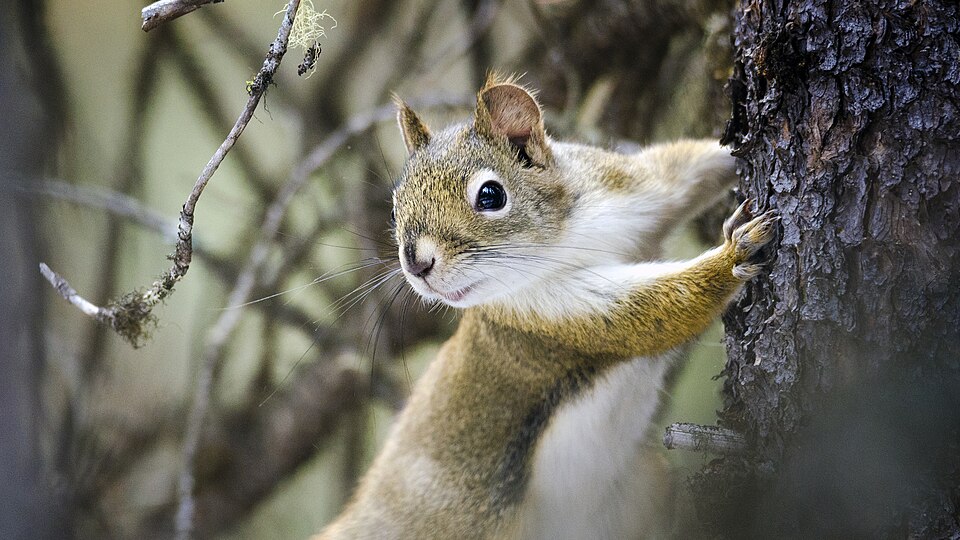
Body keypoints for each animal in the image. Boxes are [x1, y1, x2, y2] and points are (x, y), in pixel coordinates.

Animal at [314, 74, 778, 539]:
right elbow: (662, 307)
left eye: (490, 195)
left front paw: (729, 150)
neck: (561, 242)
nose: (416, 264)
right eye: (395, 208)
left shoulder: (629, 190)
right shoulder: (549, 318)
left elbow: (684, 168)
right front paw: (735, 254)